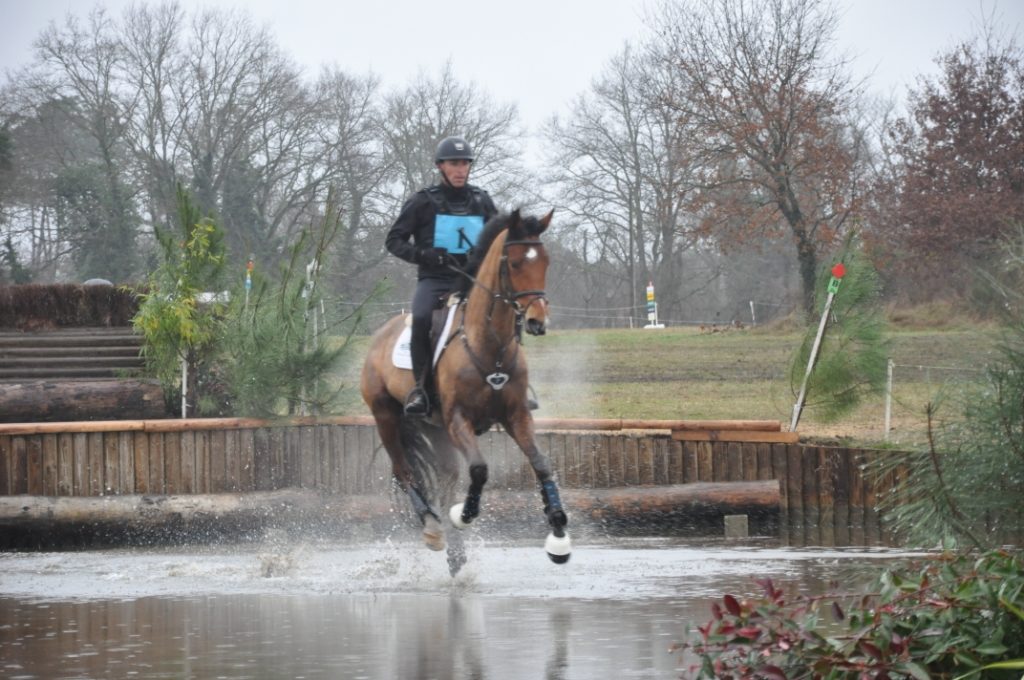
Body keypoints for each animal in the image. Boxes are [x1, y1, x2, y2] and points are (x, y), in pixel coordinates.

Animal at [360, 209, 569, 569]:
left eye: (545, 262)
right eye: (515, 263)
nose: (537, 322)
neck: (490, 346)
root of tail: (380, 334)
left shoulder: (516, 415)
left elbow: (541, 462)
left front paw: (558, 532)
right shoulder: (459, 420)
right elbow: (480, 469)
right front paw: (464, 514)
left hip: (435, 429)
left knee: (446, 479)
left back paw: (455, 552)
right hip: (386, 415)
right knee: (405, 472)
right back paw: (433, 527)